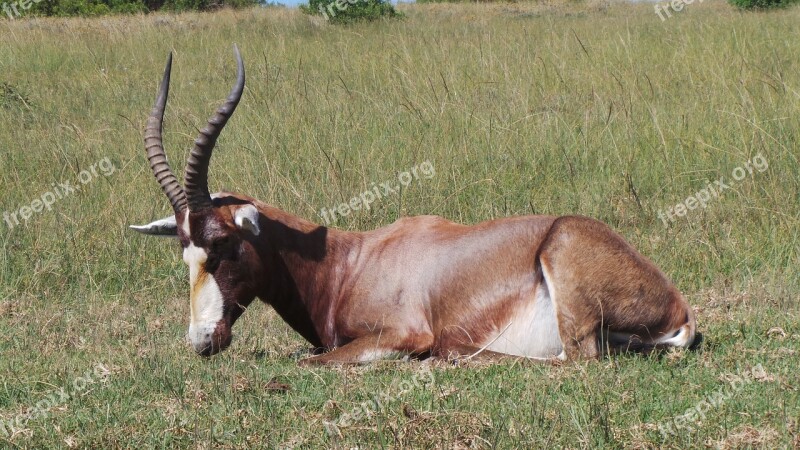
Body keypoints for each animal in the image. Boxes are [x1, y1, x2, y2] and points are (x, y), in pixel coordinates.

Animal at [131, 47, 700, 366]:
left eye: (223, 244)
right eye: (184, 249)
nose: (201, 342)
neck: (348, 263)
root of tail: (680, 306)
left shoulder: (402, 333)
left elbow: (312, 362)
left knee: (573, 361)